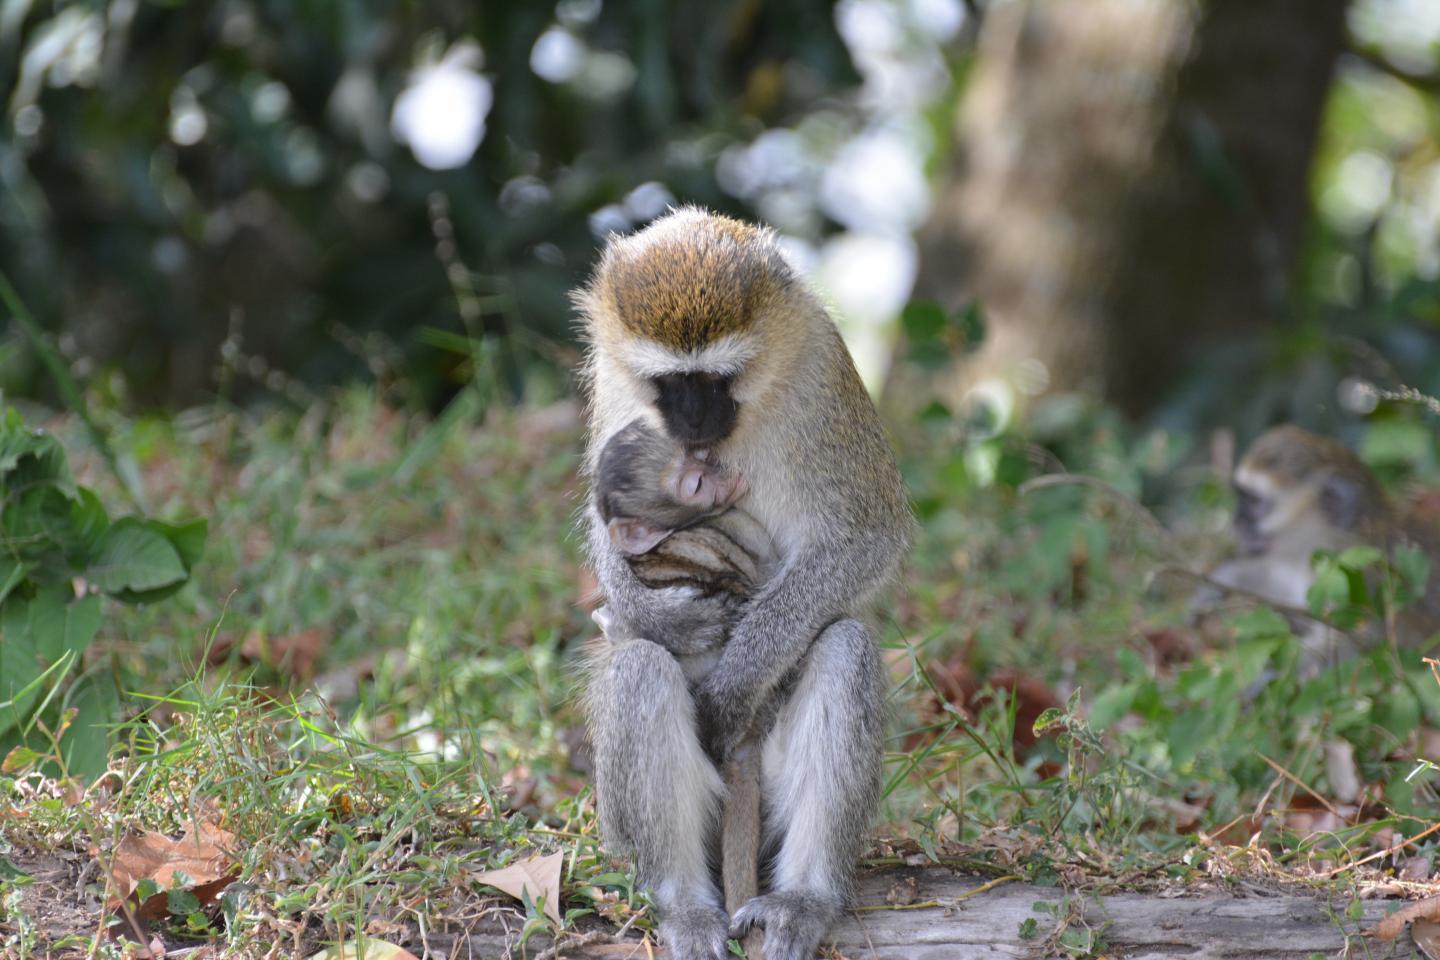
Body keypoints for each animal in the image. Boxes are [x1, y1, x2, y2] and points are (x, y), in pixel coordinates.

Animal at [577, 208, 913, 960]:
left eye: (719, 378)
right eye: (670, 383)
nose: (696, 424)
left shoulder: (822, 371)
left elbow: (868, 538)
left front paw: (736, 680)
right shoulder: (615, 385)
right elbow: (608, 542)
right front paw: (664, 617)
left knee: (844, 647)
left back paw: (803, 901)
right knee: (639, 671)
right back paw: (685, 907)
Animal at [1201, 424, 1440, 670]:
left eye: (1253, 501)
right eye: (1241, 495)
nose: (1236, 520)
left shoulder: (1365, 578)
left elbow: (1364, 644)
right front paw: (1224, 580)